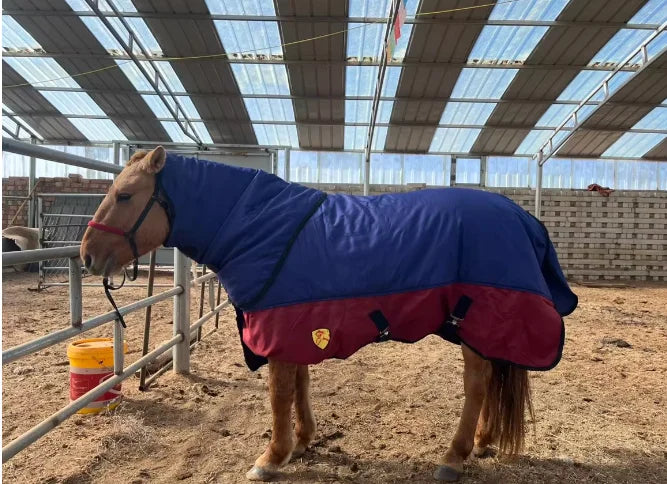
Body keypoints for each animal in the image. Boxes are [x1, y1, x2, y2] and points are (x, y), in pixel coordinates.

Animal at [81, 146, 577, 481]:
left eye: (124, 195)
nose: (87, 255)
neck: (259, 226)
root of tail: (523, 219)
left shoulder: (279, 326)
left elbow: (279, 394)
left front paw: (271, 457)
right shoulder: (296, 323)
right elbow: (299, 384)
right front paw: (302, 442)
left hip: (475, 322)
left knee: (477, 385)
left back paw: (454, 456)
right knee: (492, 380)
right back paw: (483, 443)